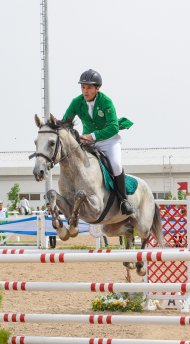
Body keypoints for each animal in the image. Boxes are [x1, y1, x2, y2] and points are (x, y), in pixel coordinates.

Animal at [31, 114, 163, 278]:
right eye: (36, 142)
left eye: (51, 143)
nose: (39, 172)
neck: (74, 170)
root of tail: (149, 191)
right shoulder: (67, 204)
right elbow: (52, 194)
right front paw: (61, 228)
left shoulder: (97, 208)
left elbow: (80, 195)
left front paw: (73, 227)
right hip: (112, 226)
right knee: (127, 231)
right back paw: (129, 262)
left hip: (142, 223)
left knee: (145, 235)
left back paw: (139, 266)